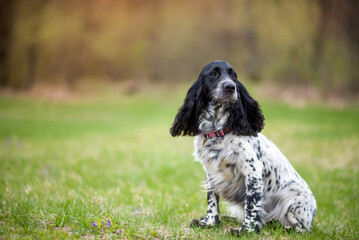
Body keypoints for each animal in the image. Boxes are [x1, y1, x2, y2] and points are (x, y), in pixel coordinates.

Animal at [170, 60, 316, 234]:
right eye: (213, 74)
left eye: (233, 75)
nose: (230, 87)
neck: (218, 130)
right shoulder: (211, 172)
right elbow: (212, 199)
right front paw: (210, 222)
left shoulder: (252, 172)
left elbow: (252, 205)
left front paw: (247, 230)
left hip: (292, 198)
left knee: (299, 227)